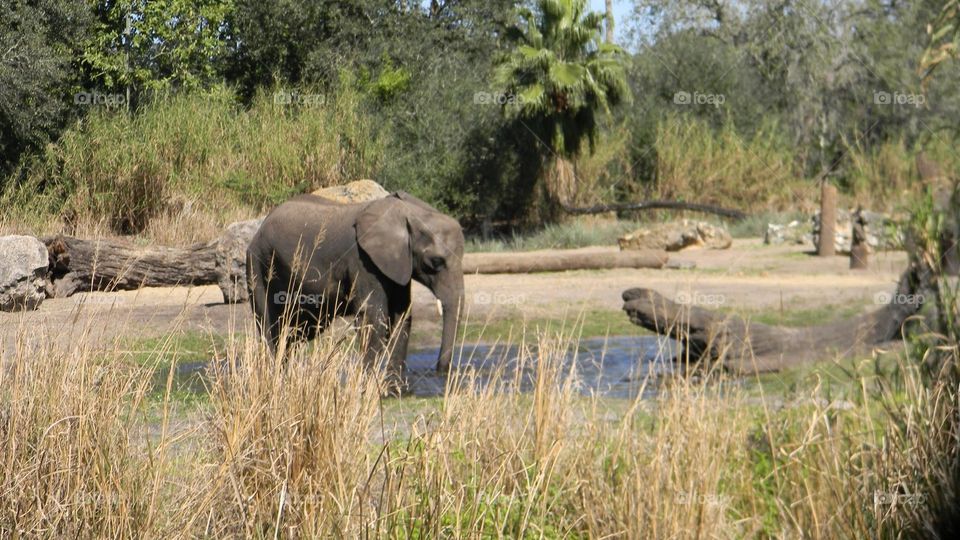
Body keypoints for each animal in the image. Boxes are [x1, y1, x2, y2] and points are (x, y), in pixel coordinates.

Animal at [245, 191, 465, 387]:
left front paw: (394, 389)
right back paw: (274, 379)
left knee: (297, 332)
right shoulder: (362, 261)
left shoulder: (398, 263)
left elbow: (402, 317)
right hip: (257, 264)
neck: (407, 212)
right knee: (270, 327)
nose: (441, 373)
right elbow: (374, 318)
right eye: (436, 262)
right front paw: (367, 386)